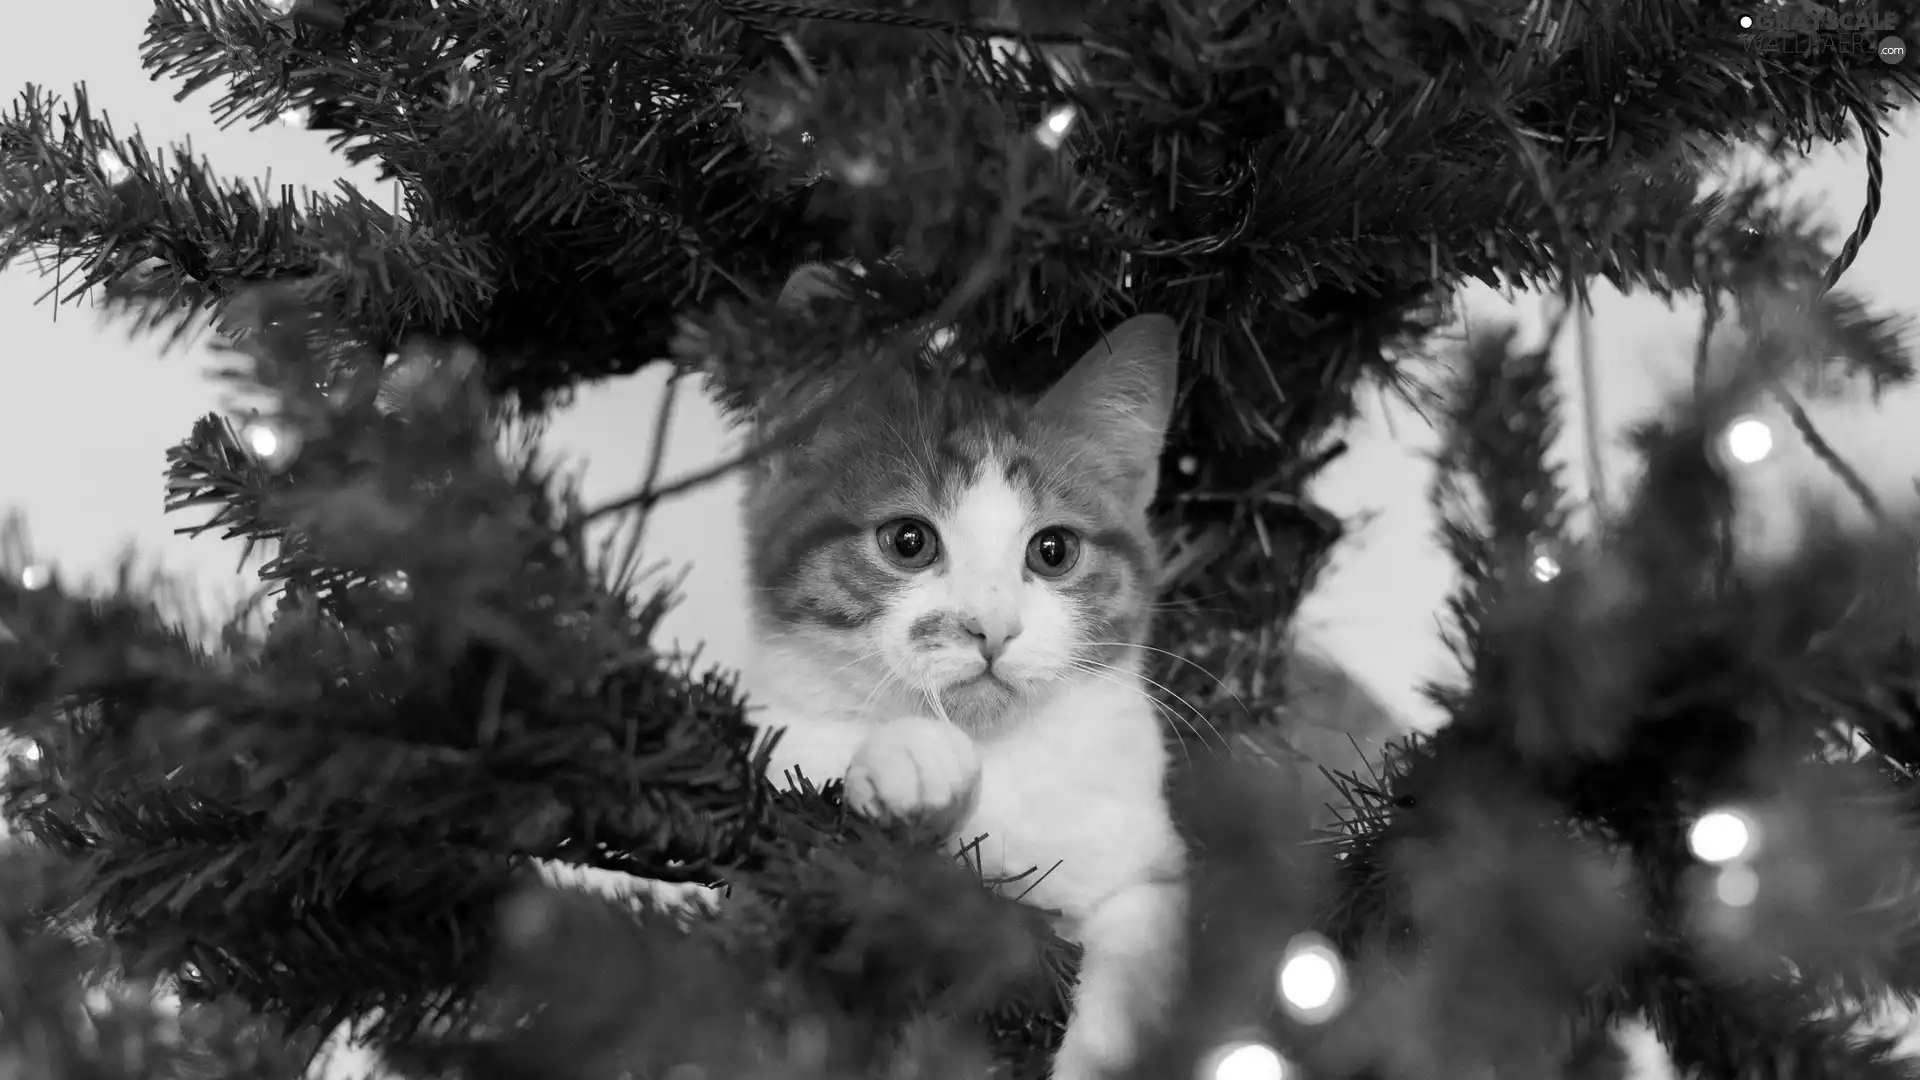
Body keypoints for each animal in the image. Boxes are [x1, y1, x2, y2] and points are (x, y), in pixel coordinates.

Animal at [737, 263, 1175, 1076]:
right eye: (908, 540)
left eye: (1054, 551)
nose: (991, 628)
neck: (1001, 758)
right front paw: (908, 761)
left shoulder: (1152, 870)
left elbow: (1136, 969)